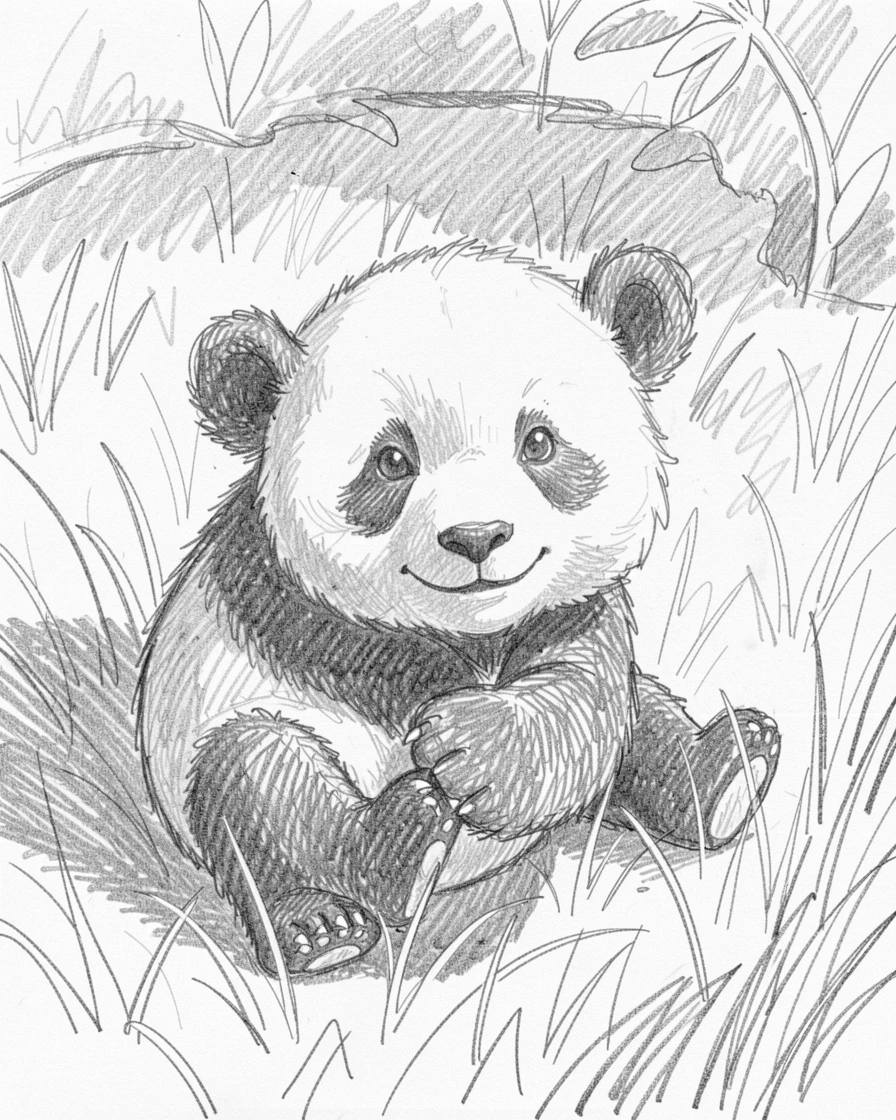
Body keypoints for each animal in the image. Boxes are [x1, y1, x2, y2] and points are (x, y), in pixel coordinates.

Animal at [137, 240, 780, 977]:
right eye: (391, 460)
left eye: (538, 442)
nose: (477, 536)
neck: (474, 628)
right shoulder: (281, 598)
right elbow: (353, 677)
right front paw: (440, 738)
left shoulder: (573, 612)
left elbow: (583, 699)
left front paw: (471, 750)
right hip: (209, 741)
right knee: (261, 783)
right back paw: (360, 889)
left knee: (639, 717)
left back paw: (728, 770)